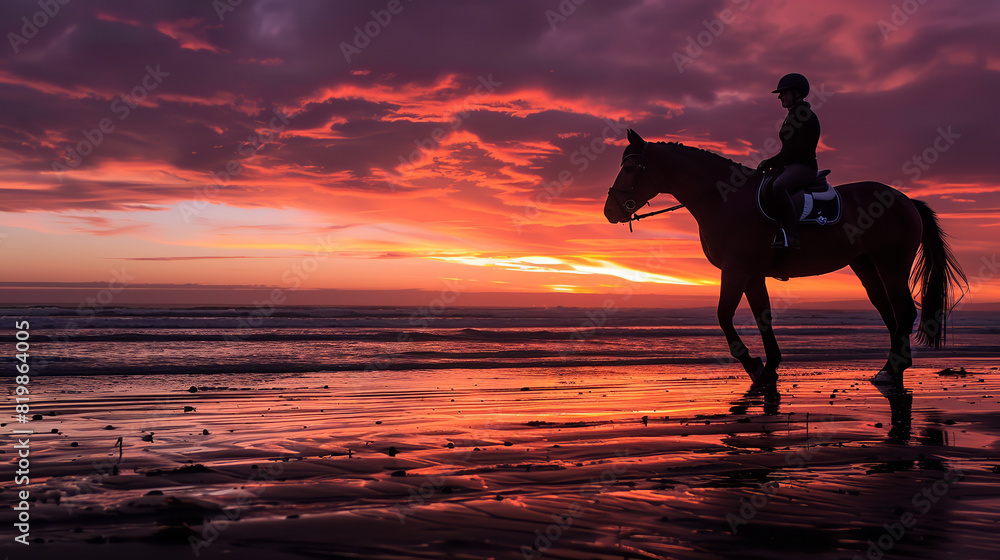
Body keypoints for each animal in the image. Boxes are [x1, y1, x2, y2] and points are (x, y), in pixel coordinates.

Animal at [604, 131, 964, 384]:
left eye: (632, 167)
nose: (609, 212)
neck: (724, 198)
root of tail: (905, 200)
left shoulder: (735, 270)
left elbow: (724, 316)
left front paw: (753, 366)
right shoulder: (751, 274)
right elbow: (762, 316)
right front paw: (770, 366)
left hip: (891, 264)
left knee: (903, 311)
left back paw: (891, 370)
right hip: (866, 266)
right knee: (889, 312)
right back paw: (895, 365)